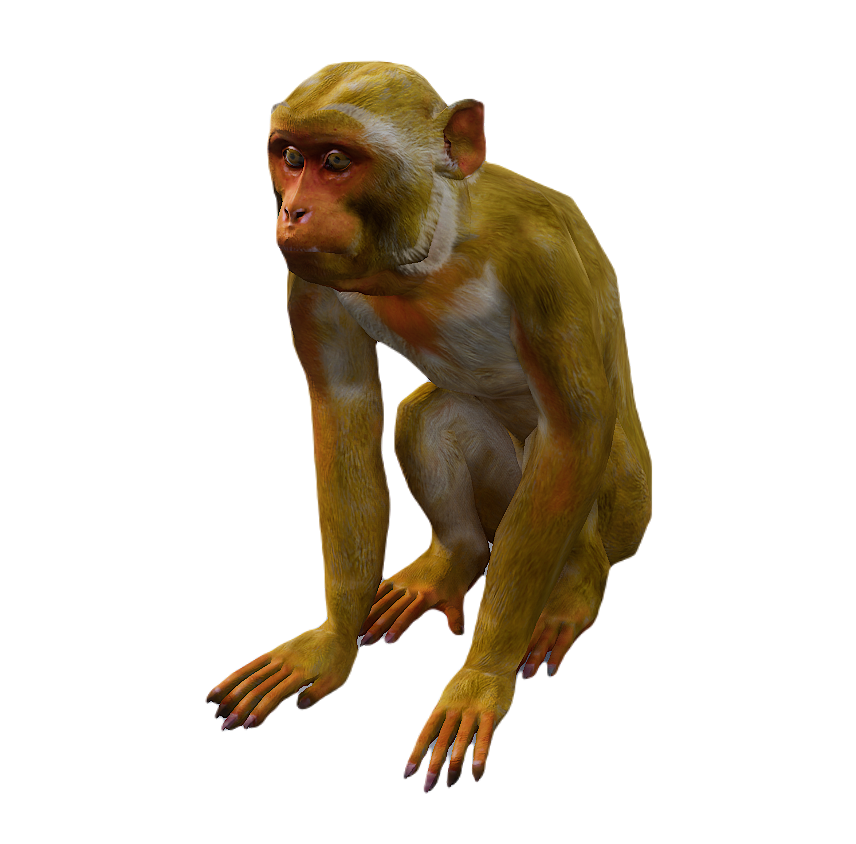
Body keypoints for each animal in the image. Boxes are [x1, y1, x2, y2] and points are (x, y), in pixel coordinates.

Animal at [205, 61, 652, 793]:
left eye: (336, 162)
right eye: (291, 158)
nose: (292, 209)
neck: (434, 256)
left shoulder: (543, 261)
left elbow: (572, 433)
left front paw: (482, 675)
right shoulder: (310, 279)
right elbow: (345, 409)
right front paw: (333, 638)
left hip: (622, 507)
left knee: (569, 457)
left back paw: (576, 584)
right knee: (430, 415)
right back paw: (457, 557)